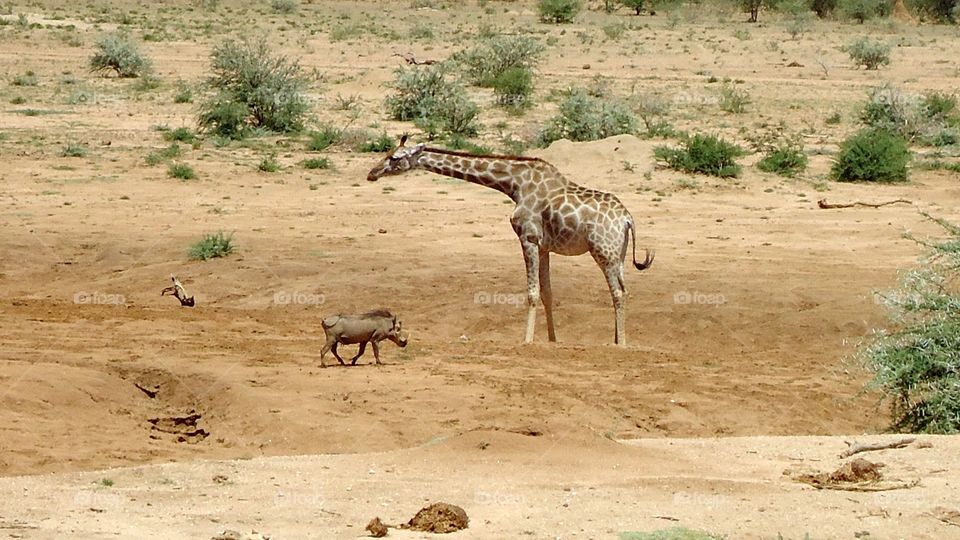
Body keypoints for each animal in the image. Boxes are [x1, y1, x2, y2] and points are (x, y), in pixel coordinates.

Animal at [366, 136, 654, 346]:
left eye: (393, 157)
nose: (371, 173)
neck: (514, 184)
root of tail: (627, 218)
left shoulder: (527, 237)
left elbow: (532, 293)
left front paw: (526, 341)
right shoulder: (544, 246)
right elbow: (547, 293)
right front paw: (552, 340)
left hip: (603, 251)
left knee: (617, 292)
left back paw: (621, 344)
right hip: (617, 254)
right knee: (624, 290)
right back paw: (618, 339)